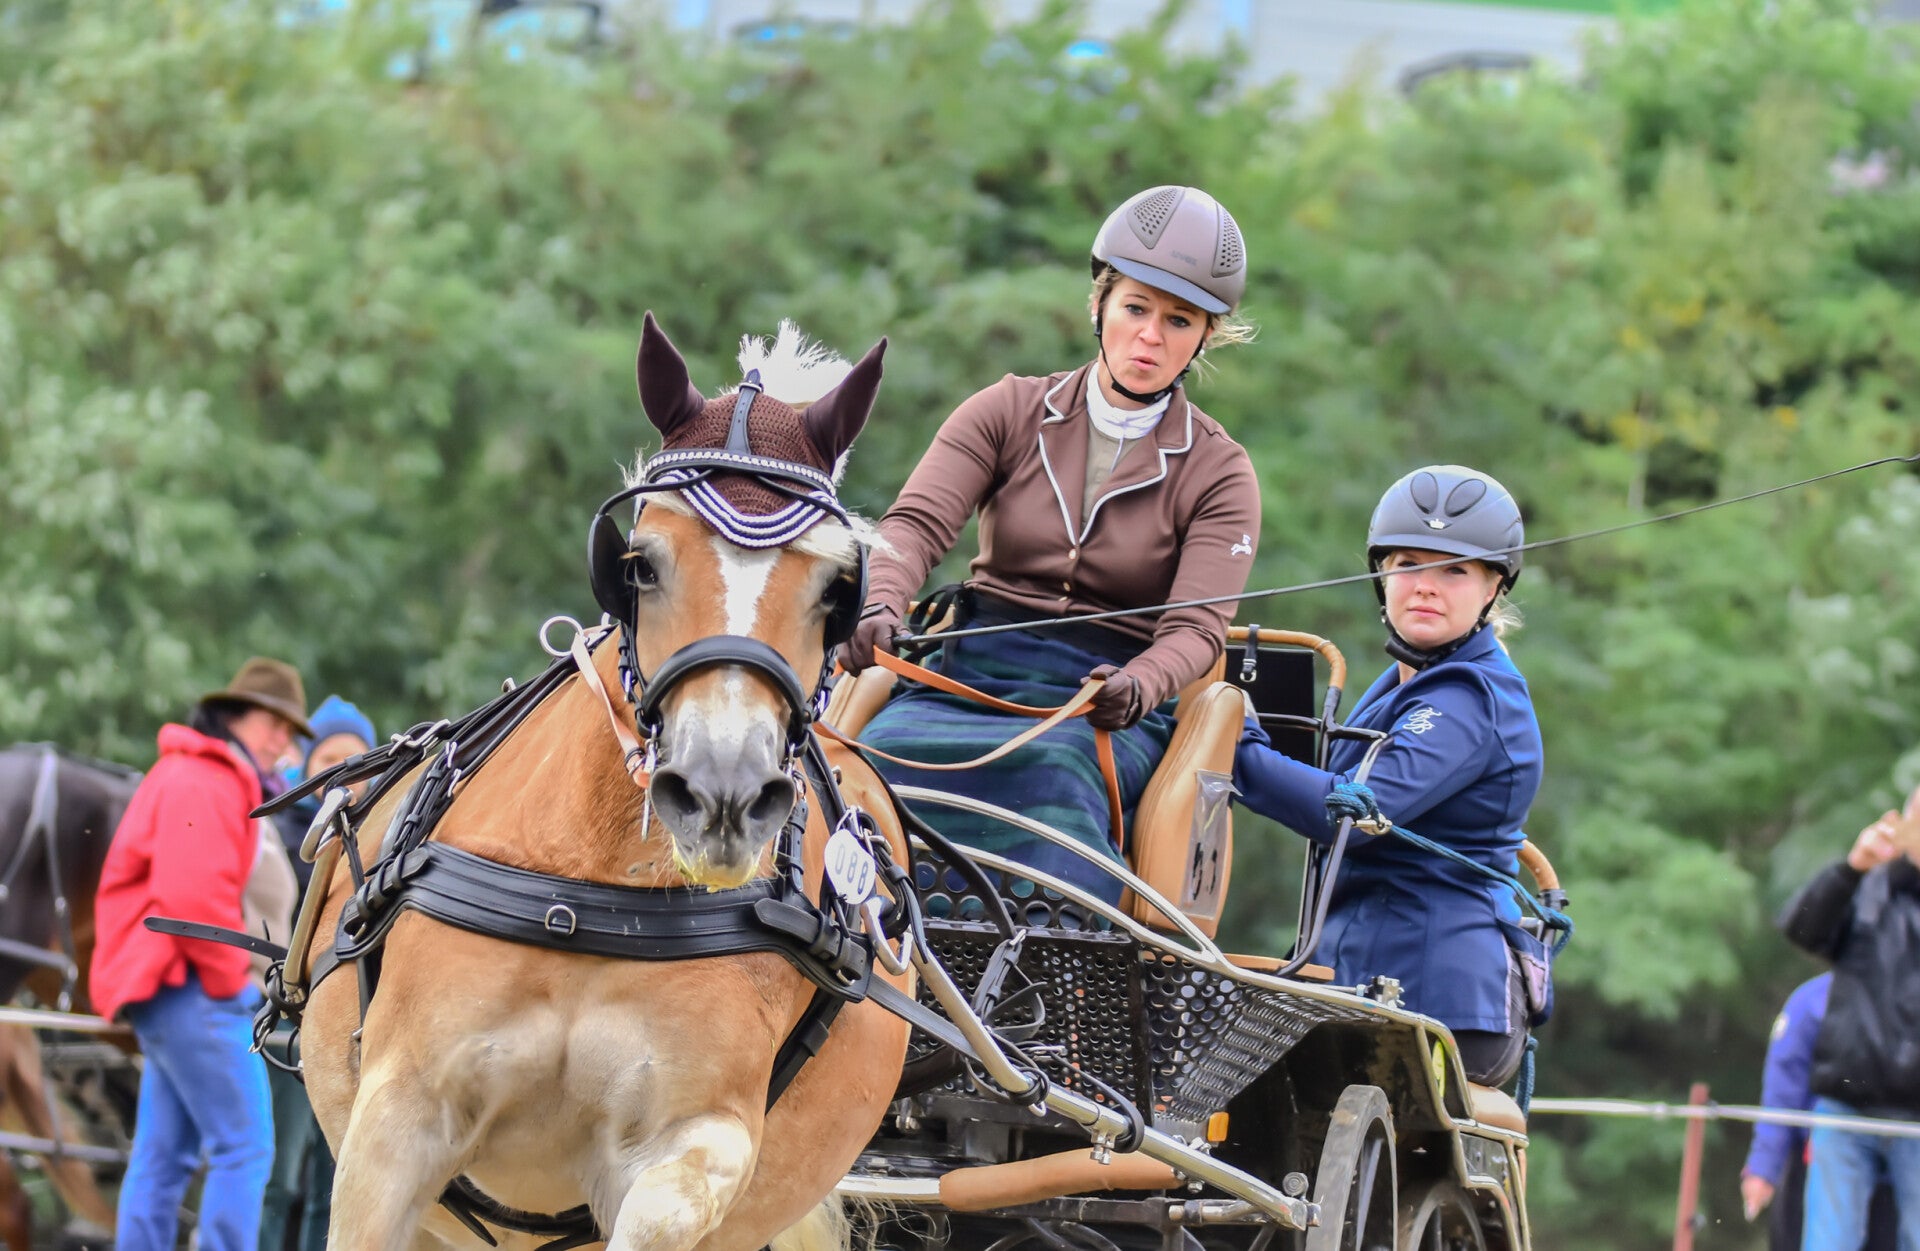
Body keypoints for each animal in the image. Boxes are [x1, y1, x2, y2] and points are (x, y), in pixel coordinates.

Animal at [297, 315, 914, 1251]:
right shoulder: (396, 1118)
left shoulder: (696, 1146)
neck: (595, 892)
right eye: (642, 563)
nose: (722, 794)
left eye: (835, 589)